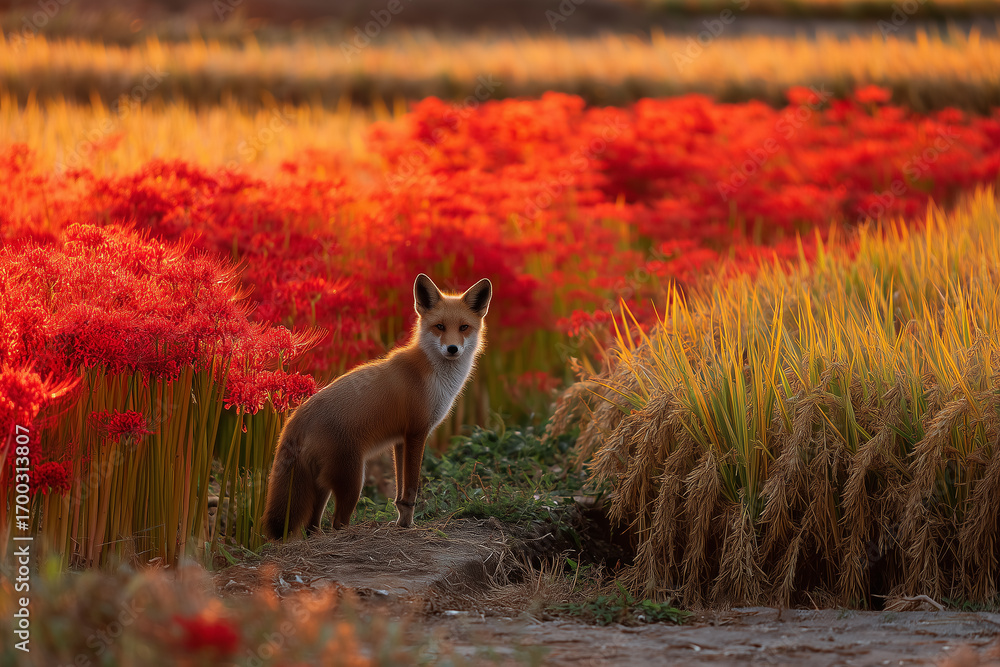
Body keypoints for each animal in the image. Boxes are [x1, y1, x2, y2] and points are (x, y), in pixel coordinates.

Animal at [262, 273, 492, 540]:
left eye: (464, 327)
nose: (452, 349)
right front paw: (408, 526)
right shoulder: (417, 433)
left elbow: (400, 494)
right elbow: (411, 489)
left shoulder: (402, 440)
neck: (433, 376)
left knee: (312, 526)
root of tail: (294, 419)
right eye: (440, 327)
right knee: (338, 522)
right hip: (353, 481)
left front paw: (402, 523)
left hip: (322, 487)